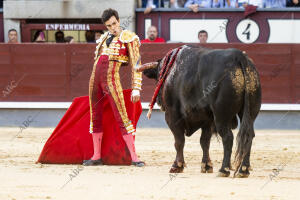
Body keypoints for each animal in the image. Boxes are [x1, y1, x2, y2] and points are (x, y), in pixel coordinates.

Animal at [139, 45, 262, 178]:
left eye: (158, 78)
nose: (158, 101)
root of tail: (239, 57)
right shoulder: (207, 120)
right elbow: (204, 141)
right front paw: (206, 165)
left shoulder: (172, 116)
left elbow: (179, 141)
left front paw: (177, 166)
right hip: (249, 113)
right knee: (249, 136)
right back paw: (243, 170)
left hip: (221, 116)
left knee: (228, 137)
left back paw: (224, 170)